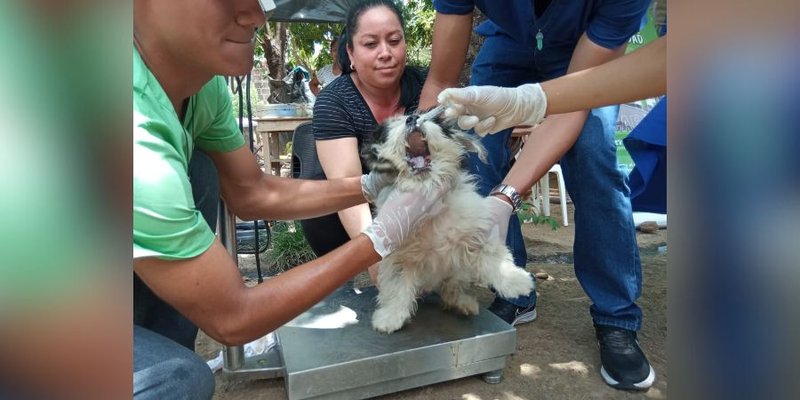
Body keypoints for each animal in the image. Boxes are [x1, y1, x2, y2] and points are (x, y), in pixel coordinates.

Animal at [360, 107, 536, 334]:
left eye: (428, 118)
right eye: (392, 127)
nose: (412, 119)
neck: (427, 188)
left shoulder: (477, 232)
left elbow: (494, 259)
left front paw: (516, 281)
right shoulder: (398, 258)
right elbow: (397, 288)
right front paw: (390, 317)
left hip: (459, 271)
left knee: (451, 288)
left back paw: (463, 303)